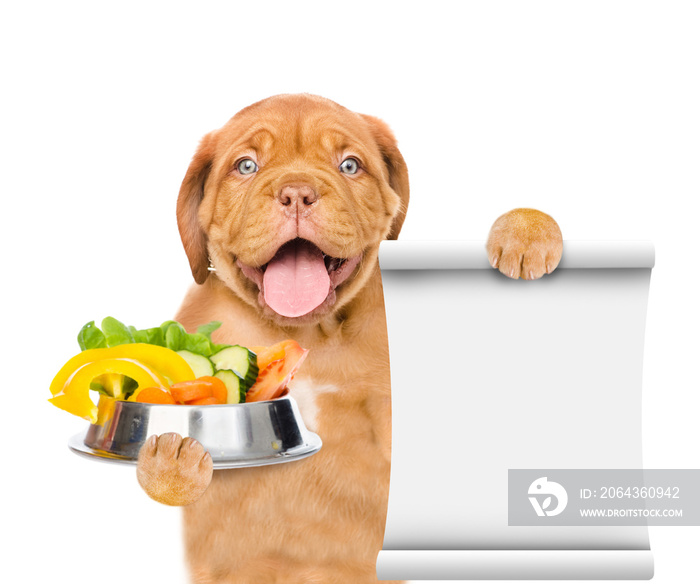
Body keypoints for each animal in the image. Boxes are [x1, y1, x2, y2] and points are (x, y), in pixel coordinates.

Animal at [135, 93, 564, 580]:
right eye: (245, 166)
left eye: (349, 165)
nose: (297, 193)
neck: (311, 332)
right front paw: (171, 459)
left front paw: (526, 231)